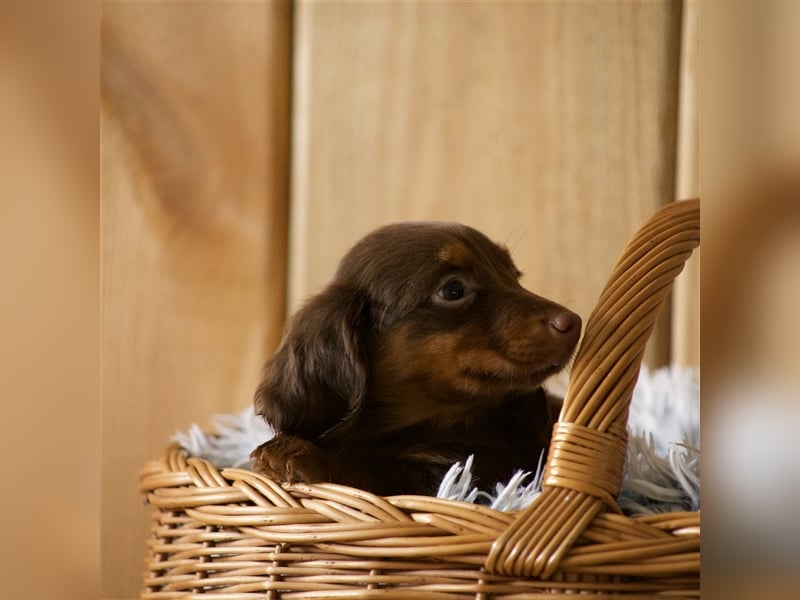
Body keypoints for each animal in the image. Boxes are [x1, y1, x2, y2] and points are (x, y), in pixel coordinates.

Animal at [252, 223, 580, 494]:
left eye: (514, 275)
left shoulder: (469, 471)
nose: (574, 322)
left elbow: (379, 472)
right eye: (453, 290)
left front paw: (303, 455)